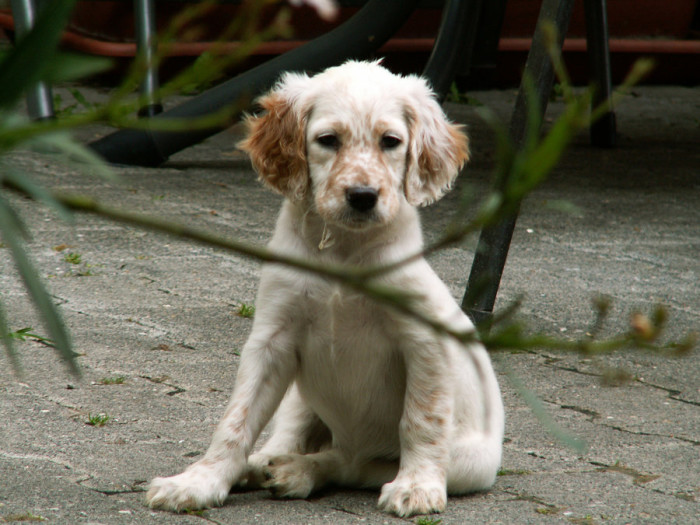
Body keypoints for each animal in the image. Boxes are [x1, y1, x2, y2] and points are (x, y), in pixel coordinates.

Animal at [148, 60, 504, 516]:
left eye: (391, 142)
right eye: (328, 140)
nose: (363, 196)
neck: (344, 252)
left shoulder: (425, 342)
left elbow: (421, 420)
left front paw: (418, 485)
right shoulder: (272, 340)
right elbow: (236, 419)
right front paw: (198, 482)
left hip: (469, 463)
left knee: (350, 464)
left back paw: (297, 471)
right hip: (300, 399)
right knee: (298, 439)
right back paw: (264, 464)